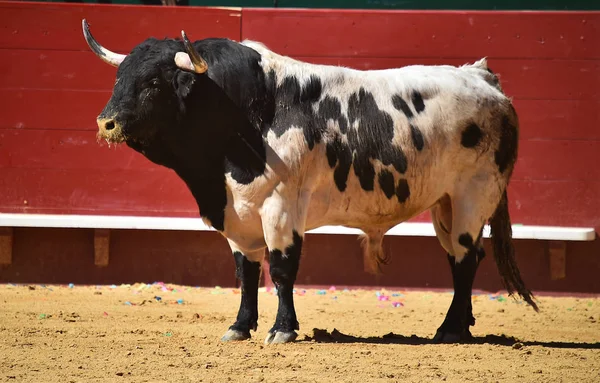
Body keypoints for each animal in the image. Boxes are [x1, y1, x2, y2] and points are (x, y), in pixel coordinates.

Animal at [82, 19, 536, 346]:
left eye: (153, 82)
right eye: (120, 77)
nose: (106, 123)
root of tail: (481, 77)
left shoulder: (280, 208)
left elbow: (282, 270)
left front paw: (282, 329)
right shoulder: (238, 215)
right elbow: (246, 273)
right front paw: (241, 326)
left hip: (472, 197)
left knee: (464, 259)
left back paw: (451, 329)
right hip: (444, 204)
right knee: (463, 257)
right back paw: (463, 324)